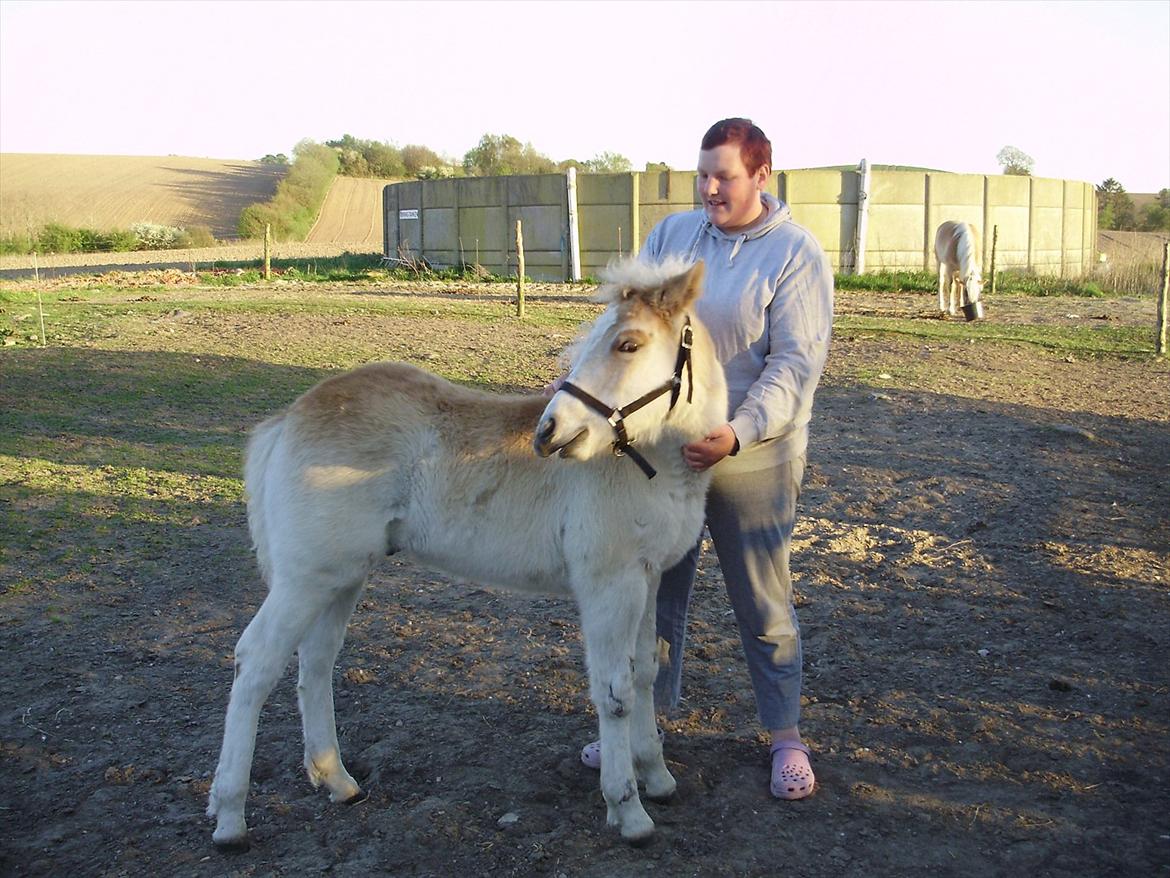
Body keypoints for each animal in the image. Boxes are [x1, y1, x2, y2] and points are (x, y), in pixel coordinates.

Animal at [205, 257, 725, 847]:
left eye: (628, 344)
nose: (549, 432)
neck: (647, 461)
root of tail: (289, 418)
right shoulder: (608, 585)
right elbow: (615, 692)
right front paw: (629, 809)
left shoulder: (648, 577)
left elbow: (644, 673)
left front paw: (656, 776)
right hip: (304, 578)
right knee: (256, 661)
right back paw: (230, 817)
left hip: (341, 577)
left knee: (315, 662)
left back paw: (337, 780)